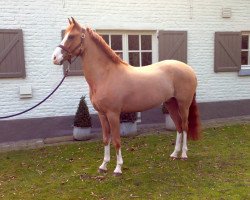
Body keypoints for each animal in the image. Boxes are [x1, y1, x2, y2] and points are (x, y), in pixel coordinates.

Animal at [52, 18, 201, 175]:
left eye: (71, 36)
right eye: (65, 34)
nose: (55, 58)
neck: (105, 75)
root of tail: (189, 69)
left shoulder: (113, 114)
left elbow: (117, 140)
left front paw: (118, 168)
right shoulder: (102, 114)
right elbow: (106, 139)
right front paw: (103, 165)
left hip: (183, 104)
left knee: (184, 126)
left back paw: (183, 154)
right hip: (170, 103)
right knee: (178, 127)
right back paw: (174, 154)